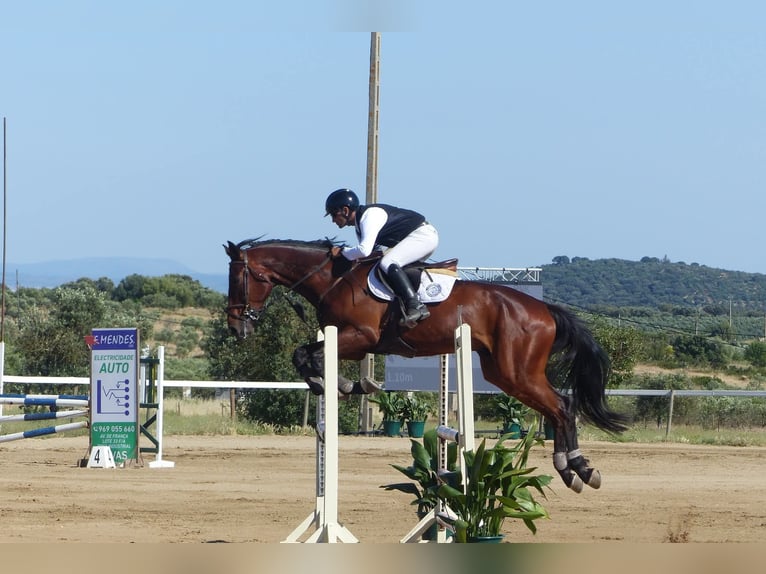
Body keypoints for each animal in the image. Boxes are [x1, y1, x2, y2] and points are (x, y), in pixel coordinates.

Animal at [224, 237, 629, 493]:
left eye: (238, 279)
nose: (236, 327)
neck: (333, 278)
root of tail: (545, 310)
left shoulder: (361, 338)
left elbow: (306, 355)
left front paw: (348, 385)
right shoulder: (346, 340)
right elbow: (304, 356)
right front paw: (340, 385)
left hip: (518, 372)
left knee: (563, 406)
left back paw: (577, 468)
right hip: (504, 373)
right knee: (560, 407)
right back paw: (572, 470)